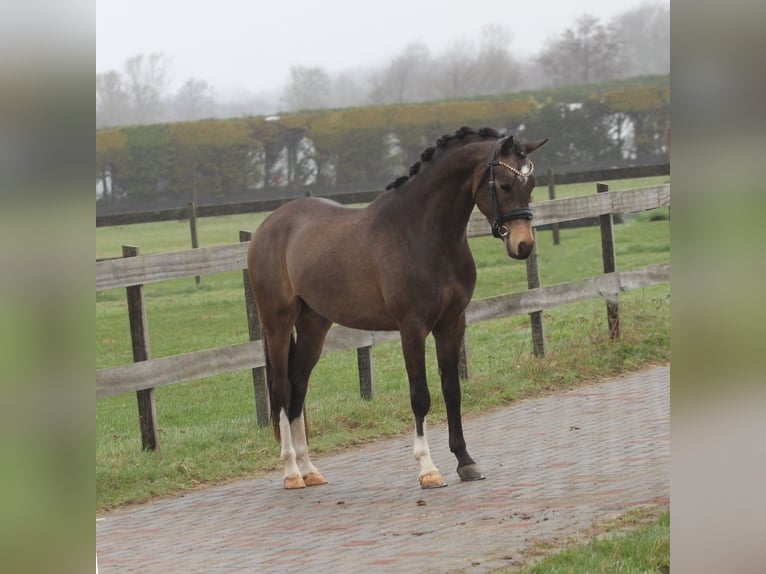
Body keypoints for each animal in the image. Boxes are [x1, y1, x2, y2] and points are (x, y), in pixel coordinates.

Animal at [247, 126, 548, 489]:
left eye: (530, 184)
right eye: (504, 184)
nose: (523, 245)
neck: (423, 233)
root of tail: (268, 226)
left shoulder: (452, 323)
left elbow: (452, 390)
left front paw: (465, 462)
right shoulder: (412, 327)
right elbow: (420, 394)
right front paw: (428, 468)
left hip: (314, 323)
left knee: (298, 385)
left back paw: (309, 469)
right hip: (276, 322)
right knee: (280, 388)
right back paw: (291, 472)